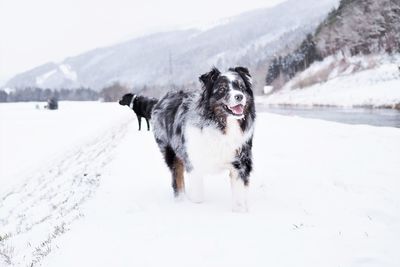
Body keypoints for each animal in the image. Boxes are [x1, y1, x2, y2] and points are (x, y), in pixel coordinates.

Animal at [152, 66, 255, 211]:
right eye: (222, 89)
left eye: (241, 87)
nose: (239, 96)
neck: (221, 126)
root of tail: (164, 98)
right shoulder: (193, 160)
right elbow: (197, 194)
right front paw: (196, 205)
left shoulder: (240, 160)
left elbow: (239, 191)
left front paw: (239, 210)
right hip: (170, 151)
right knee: (177, 176)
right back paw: (181, 201)